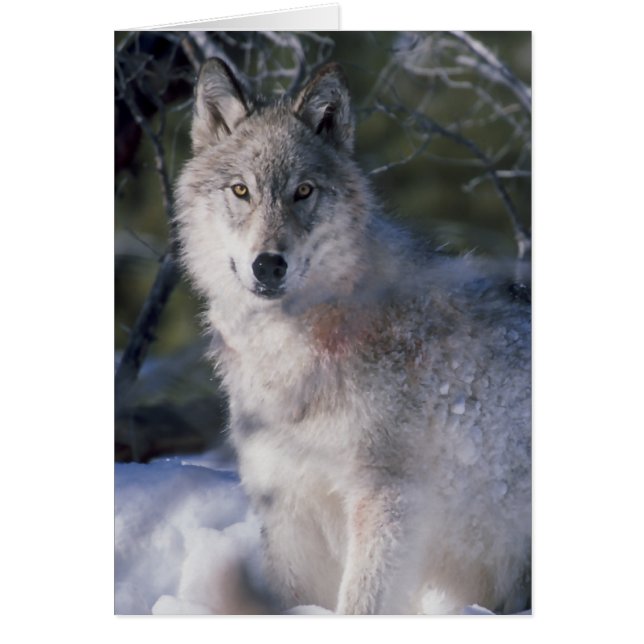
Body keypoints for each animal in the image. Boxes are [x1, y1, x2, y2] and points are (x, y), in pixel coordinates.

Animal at [175, 58, 531, 615]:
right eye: (241, 191)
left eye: (303, 191)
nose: (269, 265)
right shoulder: (288, 503)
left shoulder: (387, 499)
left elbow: (360, 604)